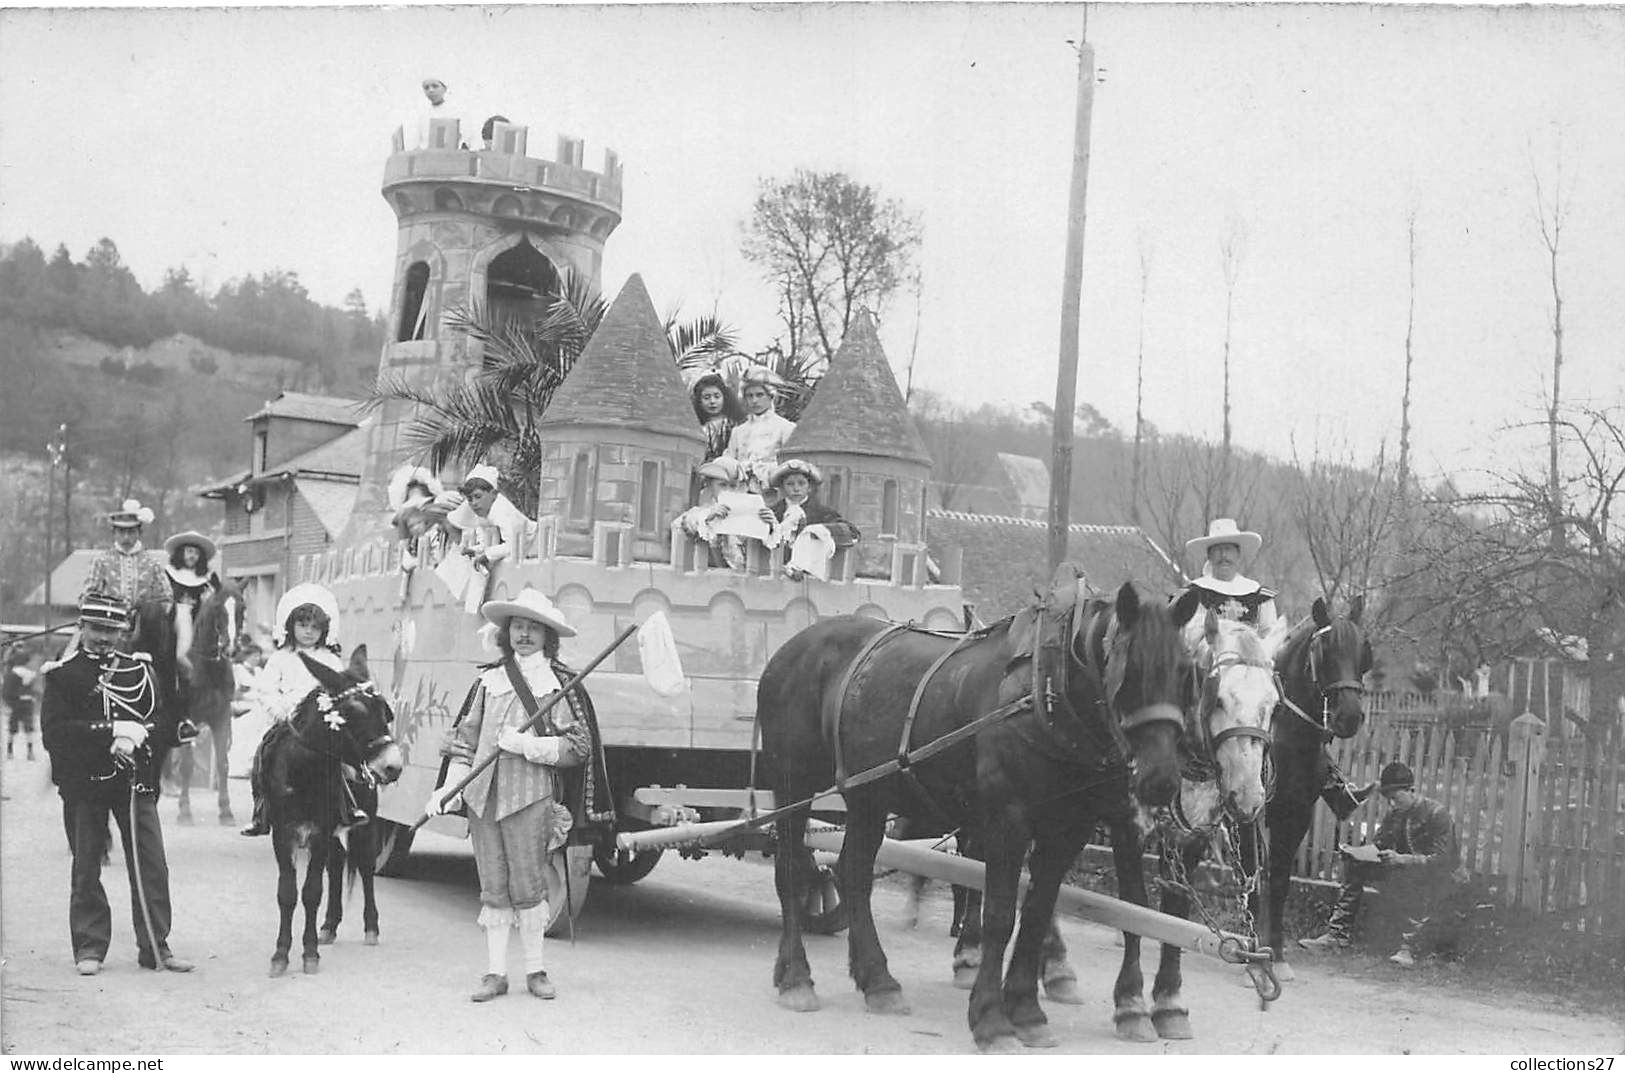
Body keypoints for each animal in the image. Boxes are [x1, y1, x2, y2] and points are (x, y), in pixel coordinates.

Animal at [176, 582, 245, 825]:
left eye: (242, 608)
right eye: (217, 608)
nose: (231, 648)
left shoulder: (221, 716)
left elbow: (223, 764)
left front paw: (226, 811)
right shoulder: (186, 720)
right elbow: (186, 765)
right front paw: (185, 811)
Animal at [263, 640, 406, 975]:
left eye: (386, 711)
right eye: (353, 711)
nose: (393, 767)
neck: (304, 773)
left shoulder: (319, 833)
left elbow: (311, 892)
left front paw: (309, 953)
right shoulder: (282, 835)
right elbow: (287, 894)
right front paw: (281, 954)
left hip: (364, 828)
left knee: (364, 868)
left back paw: (370, 928)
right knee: (338, 864)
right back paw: (329, 925)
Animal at [754, 569, 1202, 1053]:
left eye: (1185, 672)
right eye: (1131, 670)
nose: (1161, 779)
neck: (1045, 692)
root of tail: (791, 649)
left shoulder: (1065, 831)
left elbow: (1036, 915)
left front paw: (1026, 1010)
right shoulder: (1007, 821)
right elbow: (999, 918)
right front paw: (991, 1018)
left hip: (866, 796)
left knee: (852, 871)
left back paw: (878, 980)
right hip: (793, 783)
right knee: (790, 871)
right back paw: (796, 977)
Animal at [1241, 595, 1371, 981]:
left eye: (1364, 650)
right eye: (1325, 650)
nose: (1349, 716)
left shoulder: (1296, 815)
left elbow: (1279, 881)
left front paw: (1276, 955)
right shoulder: (1248, 816)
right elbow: (1255, 874)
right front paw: (1254, 956)